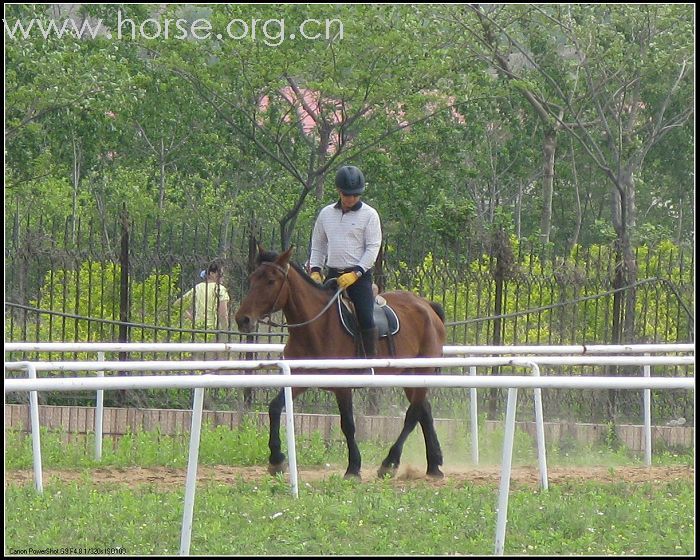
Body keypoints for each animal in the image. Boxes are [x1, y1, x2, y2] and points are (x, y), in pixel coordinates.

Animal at [232, 246, 446, 482]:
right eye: (252, 278)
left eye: (271, 281)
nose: (242, 319)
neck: (317, 326)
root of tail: (427, 306)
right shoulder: (298, 378)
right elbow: (275, 407)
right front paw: (277, 459)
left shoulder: (343, 386)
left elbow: (348, 425)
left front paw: (353, 468)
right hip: (410, 375)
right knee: (424, 411)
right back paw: (434, 465)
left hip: (421, 372)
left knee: (412, 415)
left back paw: (390, 463)